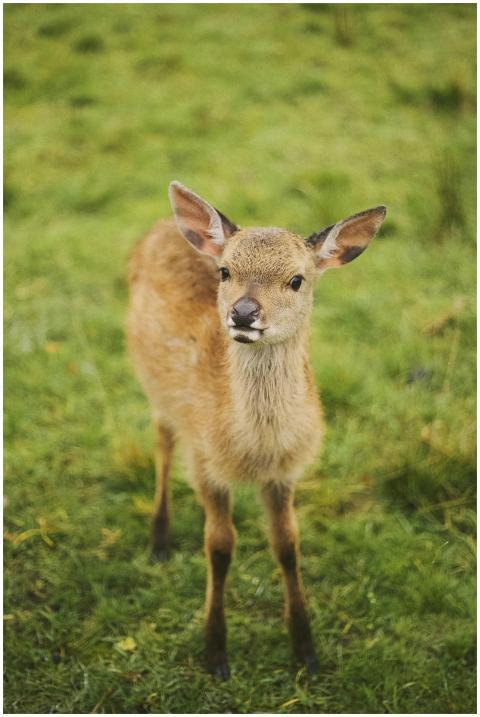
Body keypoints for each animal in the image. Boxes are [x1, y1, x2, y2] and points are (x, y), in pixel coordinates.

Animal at [126, 181, 386, 679]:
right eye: (225, 271)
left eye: (297, 279)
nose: (244, 313)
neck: (253, 450)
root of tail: (162, 226)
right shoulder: (204, 462)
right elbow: (219, 546)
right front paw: (215, 653)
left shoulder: (285, 473)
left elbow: (287, 545)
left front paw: (307, 652)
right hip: (154, 386)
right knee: (162, 442)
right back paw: (159, 542)